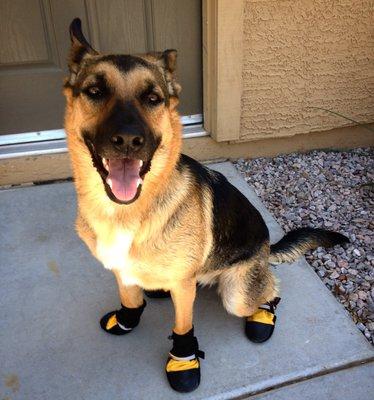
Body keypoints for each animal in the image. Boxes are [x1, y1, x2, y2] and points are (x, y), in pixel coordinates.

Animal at [63, 19, 348, 394]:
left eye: (152, 99)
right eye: (95, 91)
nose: (127, 141)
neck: (129, 210)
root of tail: (266, 247)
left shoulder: (183, 290)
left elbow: (183, 328)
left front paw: (183, 362)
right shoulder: (121, 270)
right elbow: (130, 298)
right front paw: (128, 318)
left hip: (239, 293)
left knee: (270, 291)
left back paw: (263, 314)